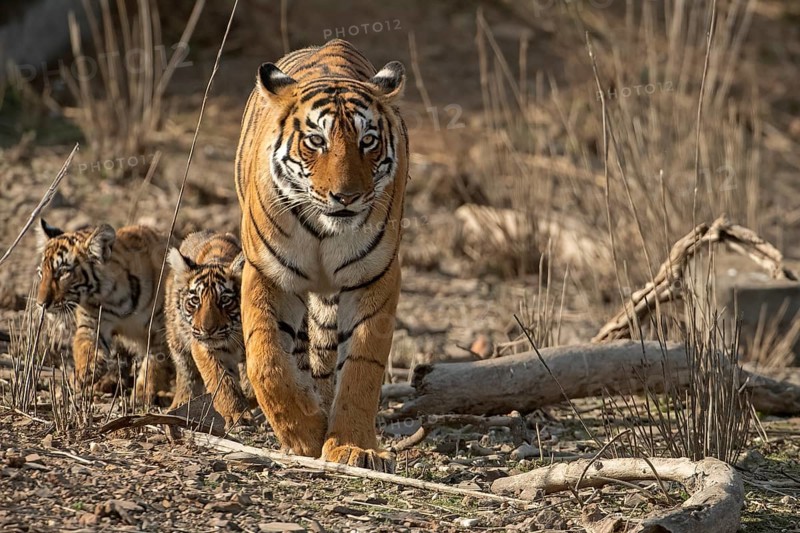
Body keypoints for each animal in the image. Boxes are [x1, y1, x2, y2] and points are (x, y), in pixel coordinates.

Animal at [35, 219, 174, 404]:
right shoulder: (91, 324)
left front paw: (143, 393)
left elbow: (155, 360)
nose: (41, 304)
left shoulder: (161, 328)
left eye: (63, 272)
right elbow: (85, 347)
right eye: (41, 273)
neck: (113, 297)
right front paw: (86, 371)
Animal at [165, 230, 253, 428]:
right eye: (195, 300)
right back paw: (181, 402)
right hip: (176, 338)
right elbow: (221, 379)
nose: (208, 329)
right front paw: (237, 414)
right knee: (186, 371)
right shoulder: (203, 345)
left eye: (224, 300)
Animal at [235, 39, 408, 472]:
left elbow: (362, 367)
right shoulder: (268, 273)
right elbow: (266, 359)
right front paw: (303, 435)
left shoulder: (375, 278)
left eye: (368, 141)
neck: (324, 231)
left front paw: (352, 446)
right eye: (316, 141)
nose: (346, 197)